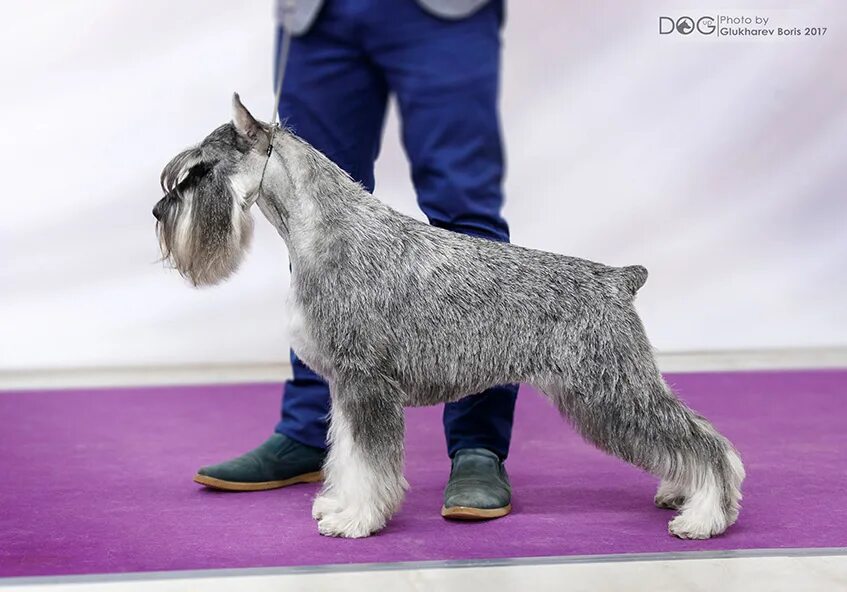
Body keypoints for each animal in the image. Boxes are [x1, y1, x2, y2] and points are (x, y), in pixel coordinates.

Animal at [156, 93, 744, 540]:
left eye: (201, 169)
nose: (159, 211)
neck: (323, 230)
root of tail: (619, 279)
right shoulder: (346, 388)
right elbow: (346, 455)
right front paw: (339, 503)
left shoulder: (366, 385)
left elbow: (369, 463)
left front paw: (356, 520)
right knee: (686, 439)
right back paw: (682, 494)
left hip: (611, 390)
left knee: (701, 442)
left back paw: (705, 515)